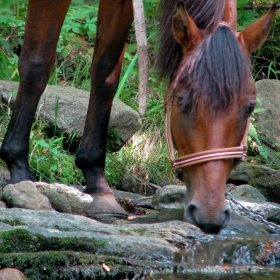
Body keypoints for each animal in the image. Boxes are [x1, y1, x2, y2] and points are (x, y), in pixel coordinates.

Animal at [0, 0, 276, 234]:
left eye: (249, 108)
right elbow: (37, 64)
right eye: (183, 101)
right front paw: (19, 170)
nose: (211, 212)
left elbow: (106, 73)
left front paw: (97, 183)